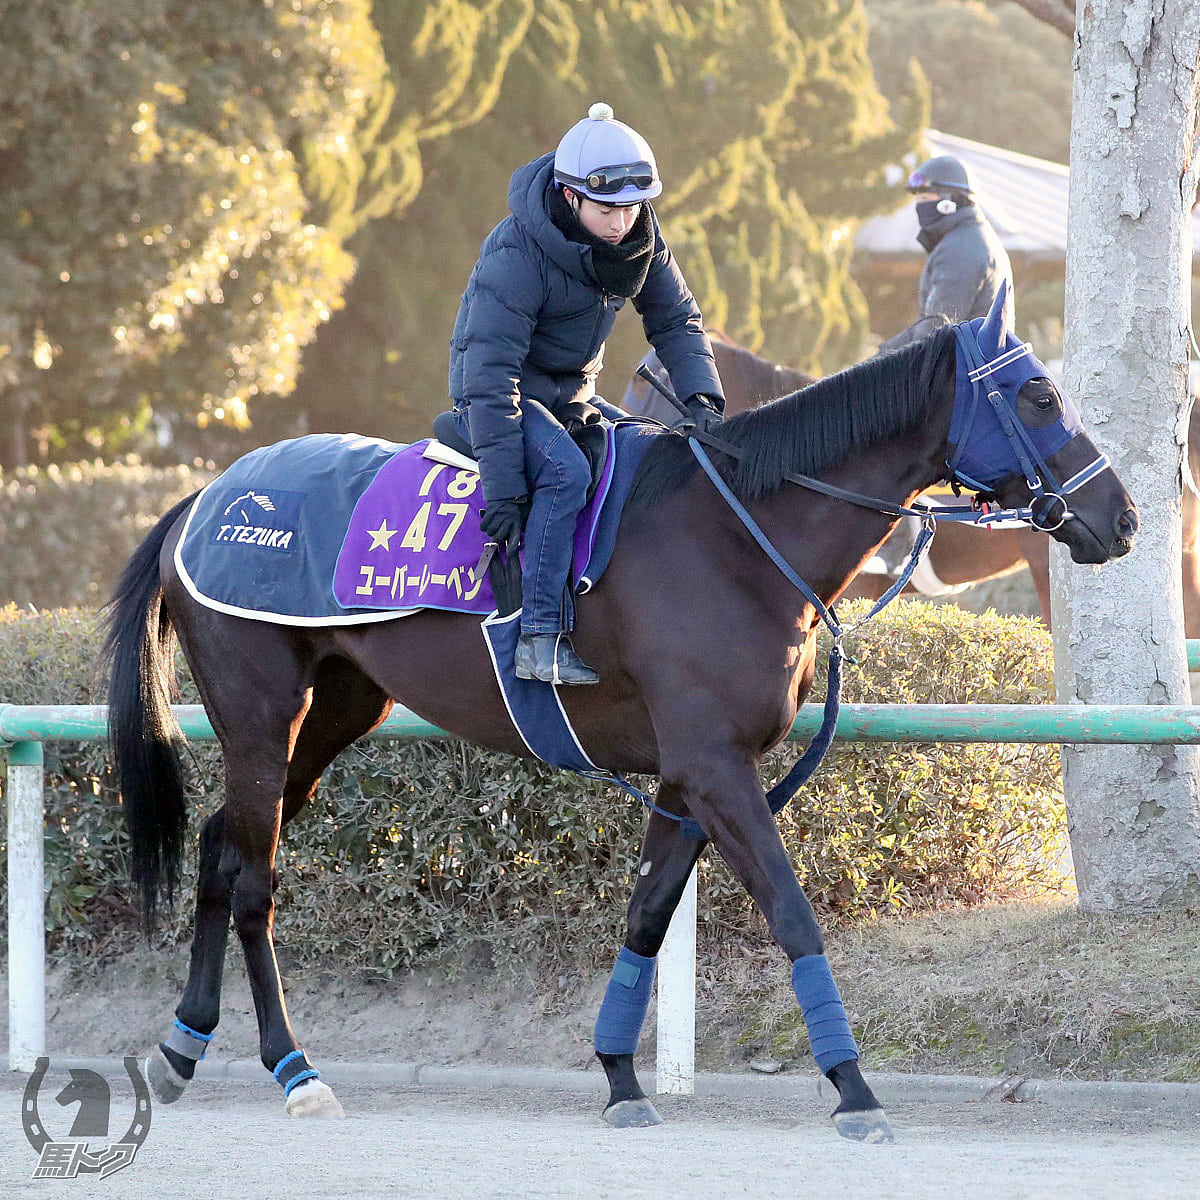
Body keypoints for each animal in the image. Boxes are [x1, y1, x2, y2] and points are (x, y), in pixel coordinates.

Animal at [100, 300, 1132, 1132]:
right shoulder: (717, 770)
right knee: (255, 878)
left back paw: (186, 1044)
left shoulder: (685, 775)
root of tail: (206, 497)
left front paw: (621, 1077)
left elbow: (645, 915)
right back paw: (292, 1067)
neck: (735, 536)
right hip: (260, 710)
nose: (1120, 517)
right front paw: (854, 1089)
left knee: (219, 845)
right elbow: (792, 914)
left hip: (335, 709)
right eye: (1041, 395)